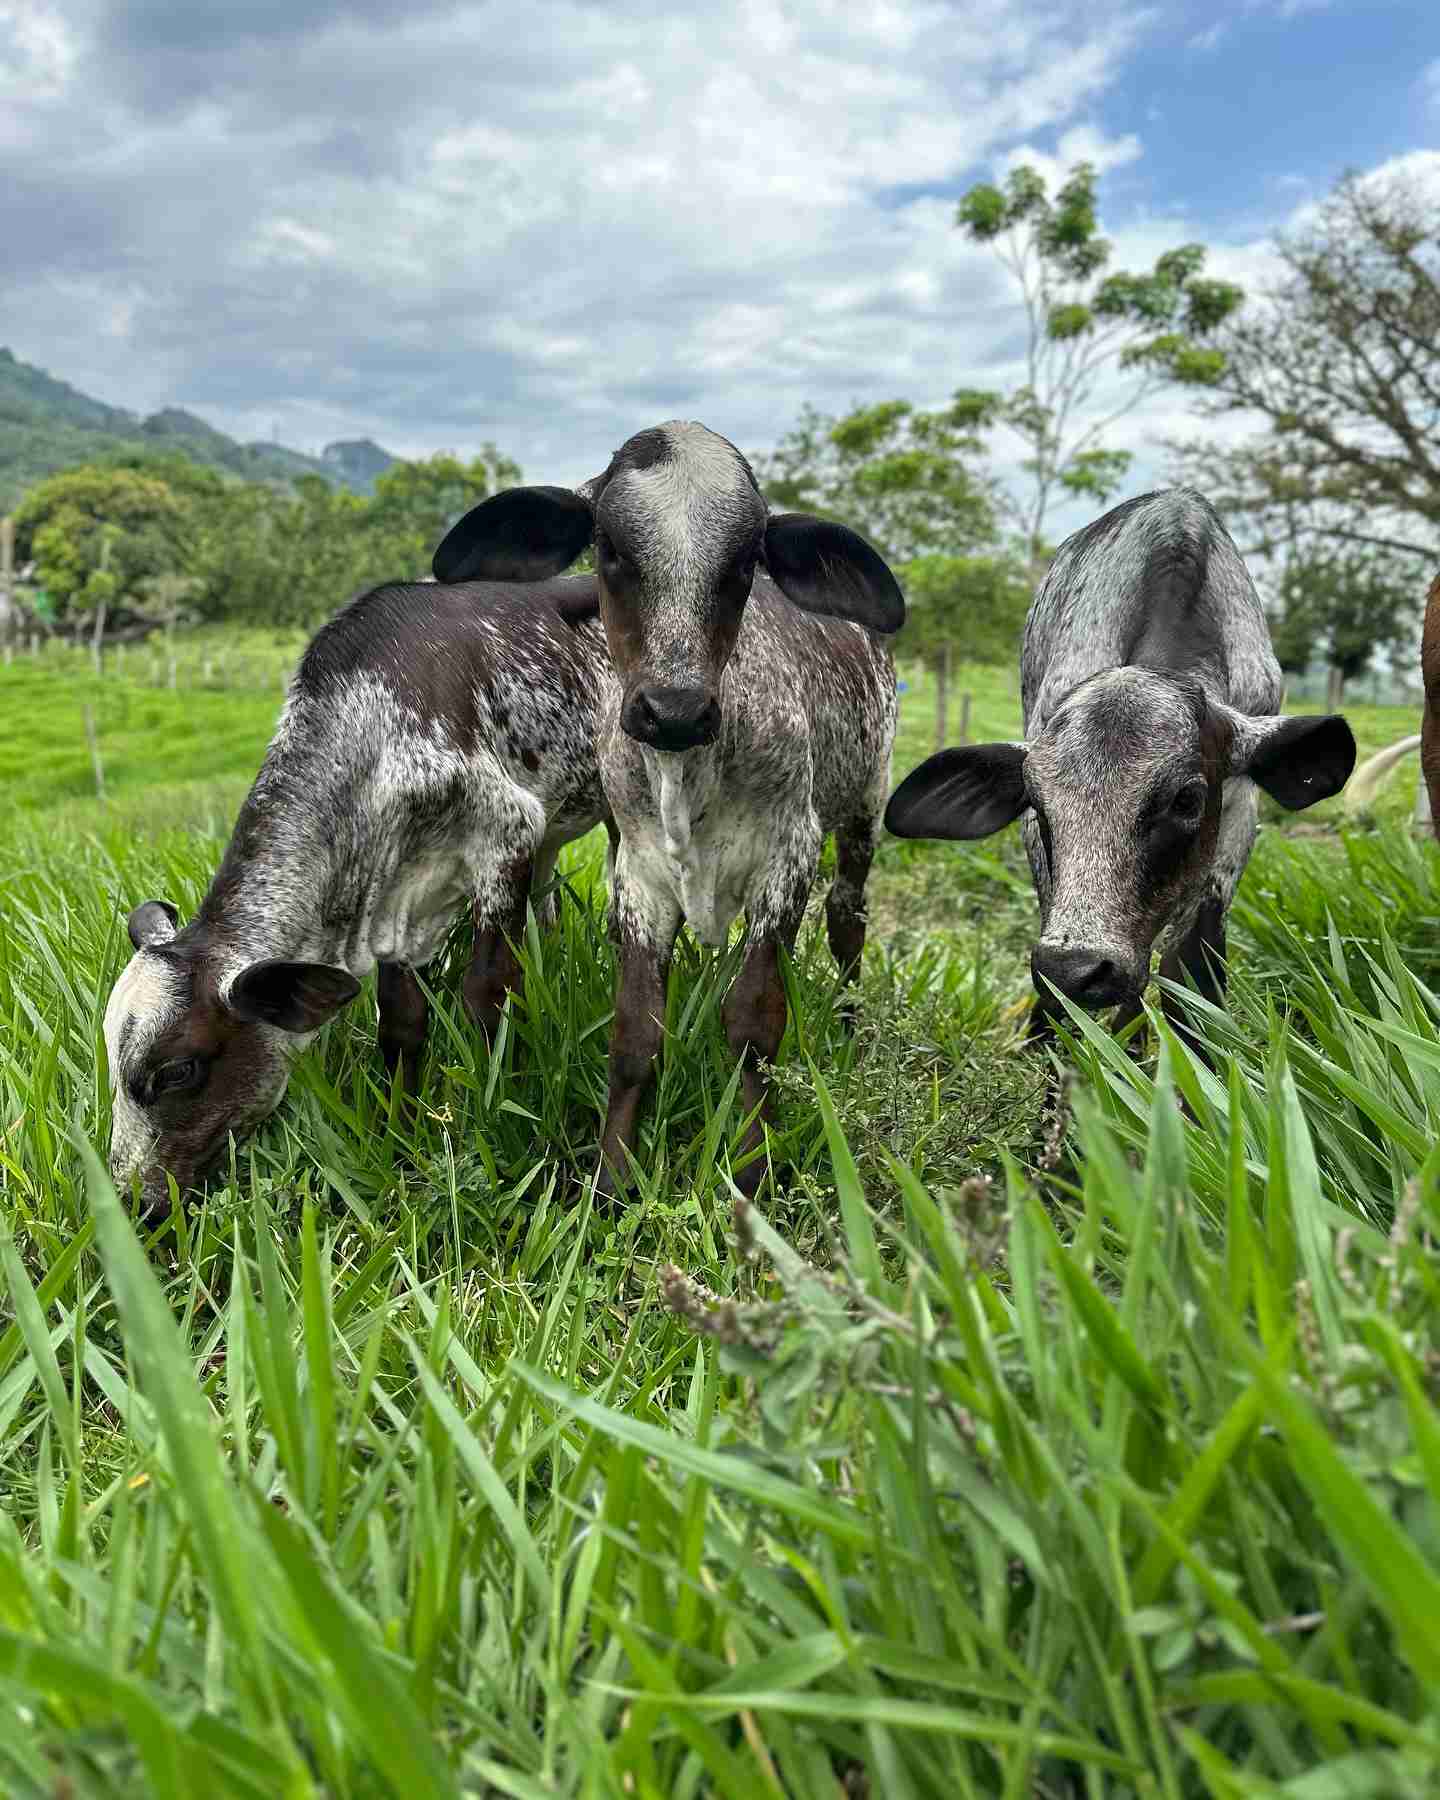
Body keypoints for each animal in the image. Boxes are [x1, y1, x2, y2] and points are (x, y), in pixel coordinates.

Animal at [104, 577, 610, 1218]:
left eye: (177, 1072)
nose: (135, 1200)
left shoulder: (508, 835)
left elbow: (485, 993)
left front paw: (485, 1105)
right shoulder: (403, 906)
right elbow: (401, 1021)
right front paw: (402, 1130)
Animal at [431, 420, 905, 1195]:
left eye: (744, 563)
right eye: (611, 548)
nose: (674, 710)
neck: (688, 774)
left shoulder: (789, 857)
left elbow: (753, 1023)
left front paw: (752, 1164)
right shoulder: (641, 877)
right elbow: (635, 1032)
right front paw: (612, 1176)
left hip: (865, 807)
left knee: (847, 921)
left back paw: (846, 1021)